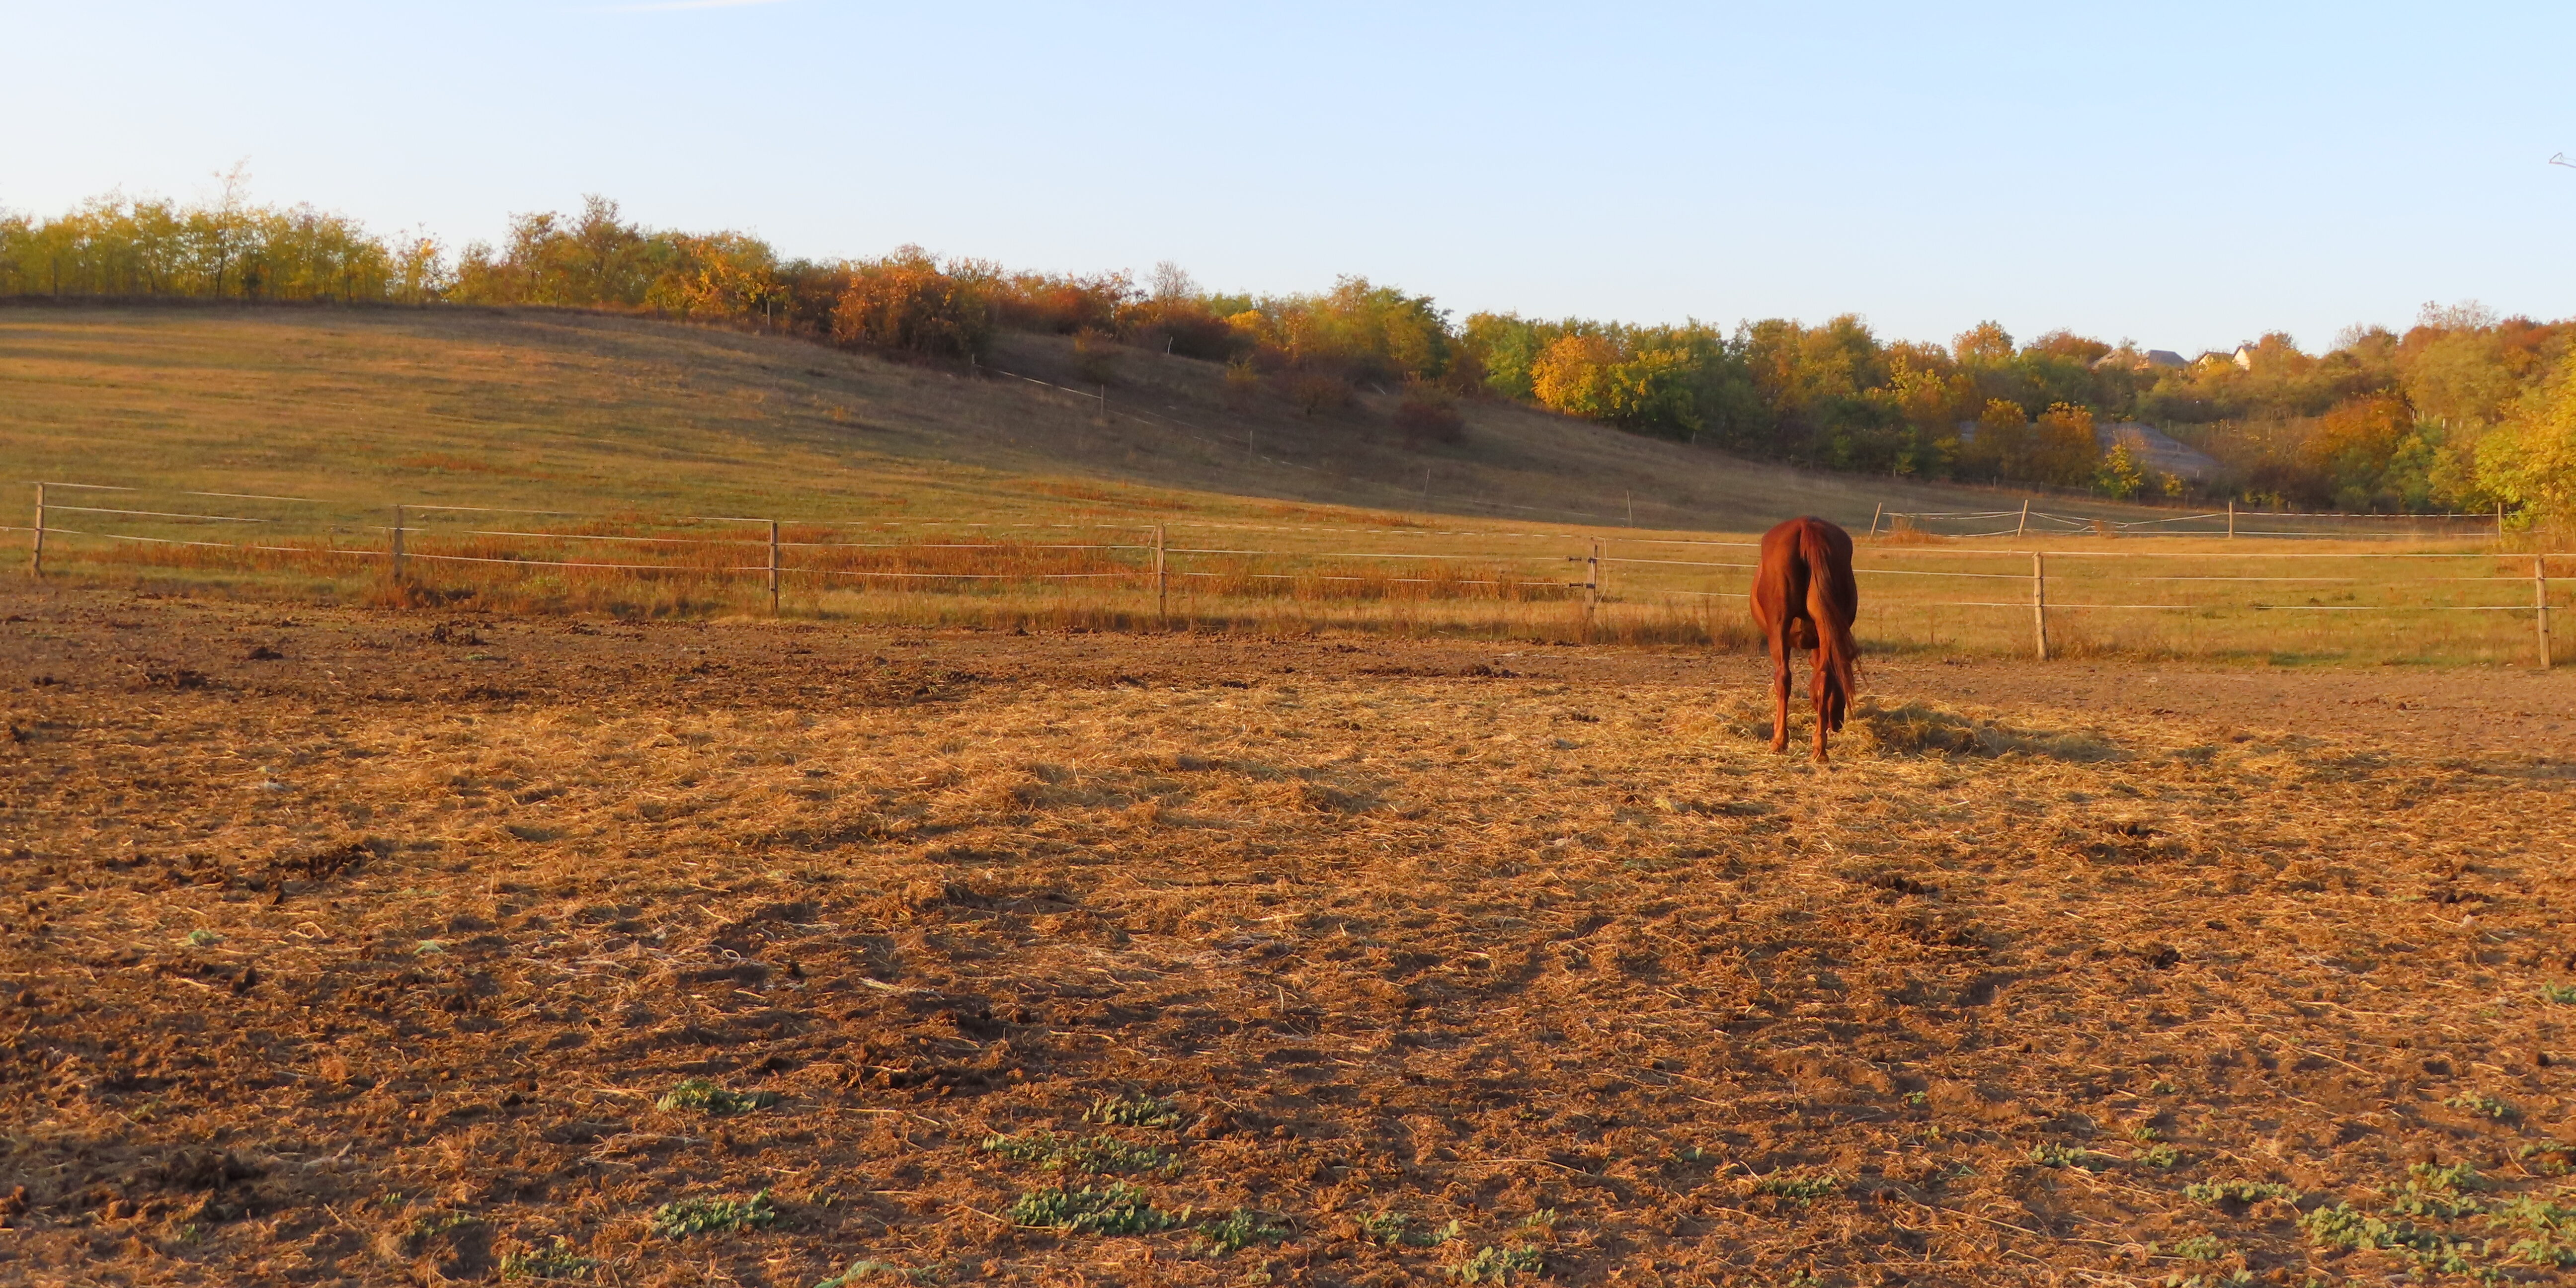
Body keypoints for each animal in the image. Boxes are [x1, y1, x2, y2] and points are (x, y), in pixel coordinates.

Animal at [1741, 515, 1865, 757]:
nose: (1838, 723)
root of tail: (1807, 525)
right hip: (1824, 628)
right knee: (1824, 678)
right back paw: (1820, 749)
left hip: (1779, 628)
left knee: (1783, 678)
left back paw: (1779, 741)